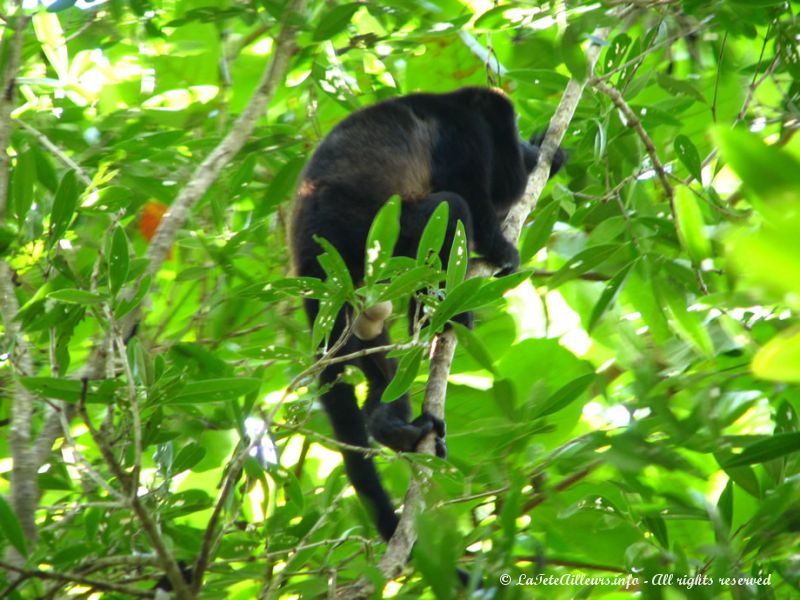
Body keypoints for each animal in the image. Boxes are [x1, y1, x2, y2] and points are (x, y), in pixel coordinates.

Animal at [290, 86, 564, 540]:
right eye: (511, 129)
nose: (527, 146)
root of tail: (310, 266)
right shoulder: (462, 135)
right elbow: (476, 199)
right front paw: (503, 249)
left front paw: (550, 150)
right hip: (373, 238)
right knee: (448, 207)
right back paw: (443, 313)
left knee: (381, 368)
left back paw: (391, 424)